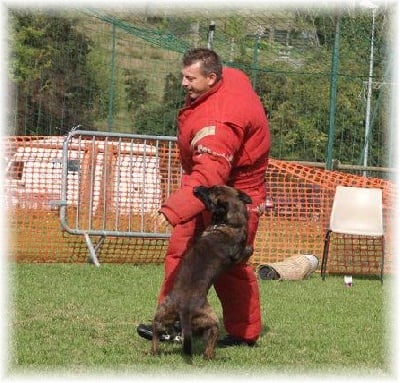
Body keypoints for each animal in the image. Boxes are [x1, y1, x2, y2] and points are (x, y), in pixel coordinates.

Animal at [150, 186, 253, 360]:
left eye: (210, 191)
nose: (196, 188)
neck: (228, 223)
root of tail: (183, 308)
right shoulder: (238, 255)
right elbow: (248, 249)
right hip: (212, 321)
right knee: (209, 348)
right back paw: (216, 357)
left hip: (163, 311)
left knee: (156, 332)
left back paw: (154, 351)